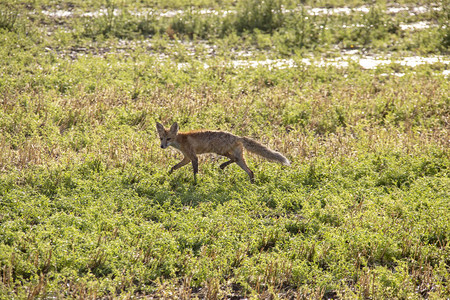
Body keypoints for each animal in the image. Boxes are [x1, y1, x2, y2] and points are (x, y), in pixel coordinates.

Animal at [156, 122, 290, 183]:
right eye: (161, 138)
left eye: (168, 139)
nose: (162, 146)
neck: (181, 140)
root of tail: (237, 137)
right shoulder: (187, 158)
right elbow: (173, 167)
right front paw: (167, 175)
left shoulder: (193, 157)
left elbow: (195, 172)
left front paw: (195, 183)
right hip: (239, 158)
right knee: (250, 171)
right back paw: (252, 184)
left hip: (222, 151)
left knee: (234, 159)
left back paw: (222, 166)